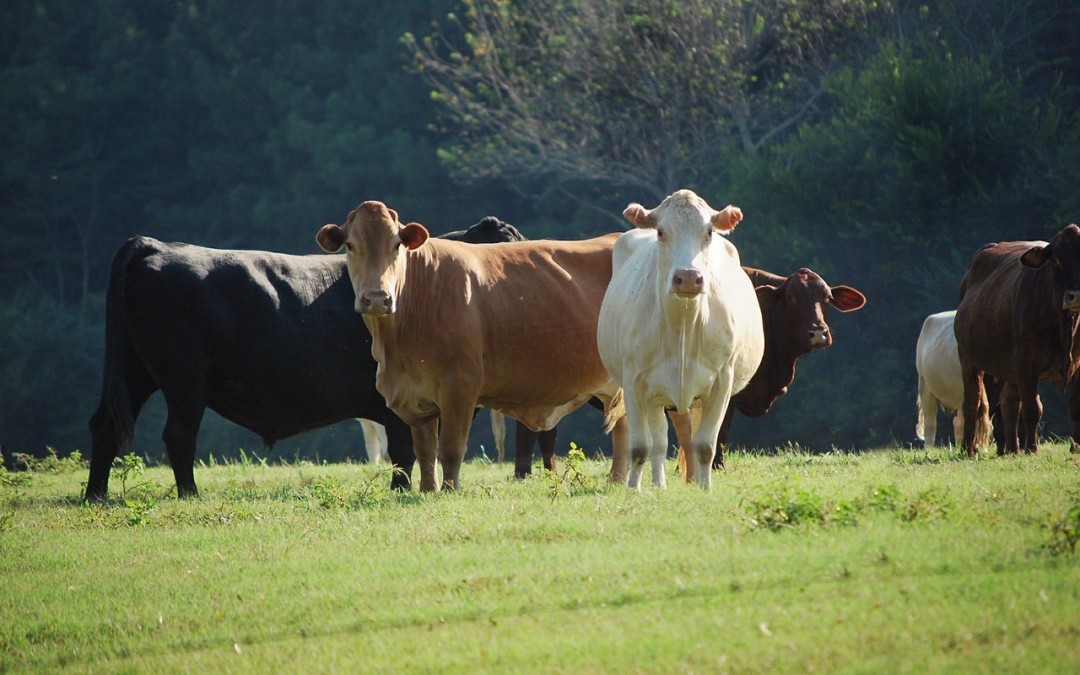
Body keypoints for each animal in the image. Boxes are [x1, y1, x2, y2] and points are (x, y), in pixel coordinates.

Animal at [315, 198, 622, 490]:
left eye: (396, 245)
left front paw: (449, 490)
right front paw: (428, 490)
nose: (378, 298)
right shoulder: (415, 392)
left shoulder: (460, 386)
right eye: (350, 245)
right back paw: (618, 479)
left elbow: (450, 448)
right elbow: (425, 450)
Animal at [596, 190, 764, 490]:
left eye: (708, 232)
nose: (687, 277)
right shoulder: (634, 381)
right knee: (658, 442)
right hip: (654, 395)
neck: (683, 325)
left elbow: (705, 445)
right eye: (661, 232)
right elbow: (641, 446)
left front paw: (705, 489)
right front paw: (633, 489)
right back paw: (659, 485)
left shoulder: (722, 381)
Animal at [954, 223, 1080, 455]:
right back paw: (970, 448)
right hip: (970, 361)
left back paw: (1009, 448)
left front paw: (1076, 447)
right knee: (973, 403)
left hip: (1005, 367)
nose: (1074, 296)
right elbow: (1032, 409)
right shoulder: (1026, 364)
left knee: (1008, 404)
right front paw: (1032, 448)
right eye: (1057, 260)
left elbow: (1074, 406)